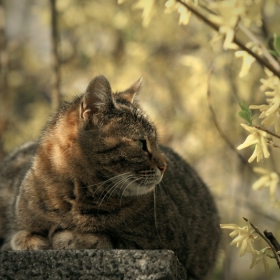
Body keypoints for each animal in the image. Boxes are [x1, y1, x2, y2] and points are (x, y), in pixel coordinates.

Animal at [0, 75, 221, 278]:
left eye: (157, 142)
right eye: (141, 143)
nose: (164, 166)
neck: (75, 194)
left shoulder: (164, 243)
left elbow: (98, 238)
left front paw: (65, 236)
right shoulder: (20, 225)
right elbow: (21, 235)